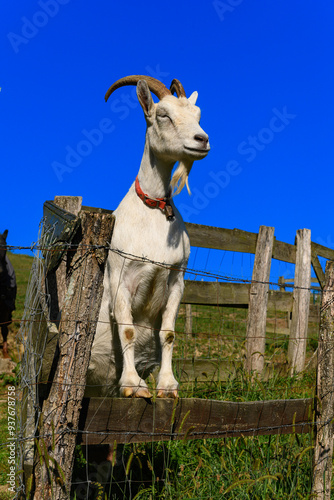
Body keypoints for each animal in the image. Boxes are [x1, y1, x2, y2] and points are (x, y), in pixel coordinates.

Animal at [87, 75, 210, 398]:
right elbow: (128, 329)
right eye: (163, 114)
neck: (153, 208)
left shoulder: (176, 279)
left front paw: (168, 385)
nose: (202, 140)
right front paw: (133, 385)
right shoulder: (121, 277)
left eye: (198, 114)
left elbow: (168, 334)